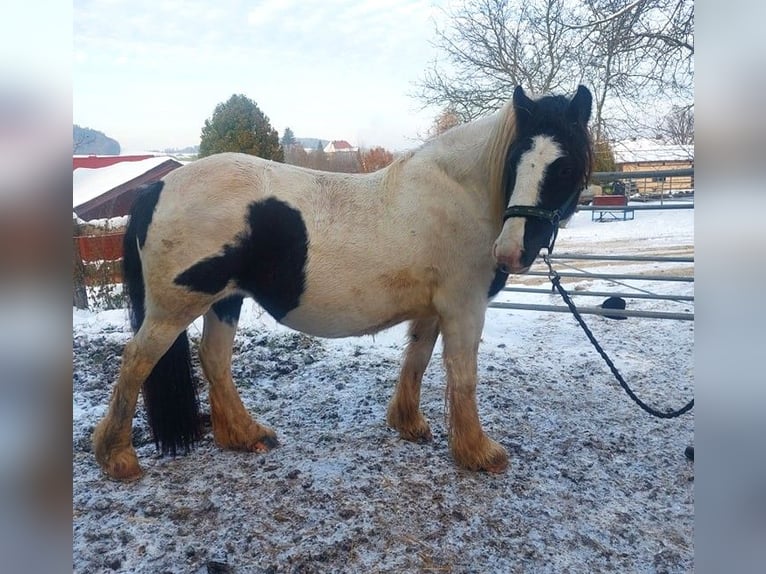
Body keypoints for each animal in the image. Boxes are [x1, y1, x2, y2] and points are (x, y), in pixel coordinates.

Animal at [94, 85, 592, 482]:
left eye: (564, 167)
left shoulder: (433, 308)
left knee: (214, 359)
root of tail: (157, 188)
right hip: (175, 307)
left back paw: (246, 435)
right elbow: (463, 375)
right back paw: (117, 458)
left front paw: (409, 424)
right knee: (136, 362)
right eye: (516, 161)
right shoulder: (463, 306)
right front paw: (479, 453)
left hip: (225, 300)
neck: (459, 194)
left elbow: (417, 361)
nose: (509, 252)